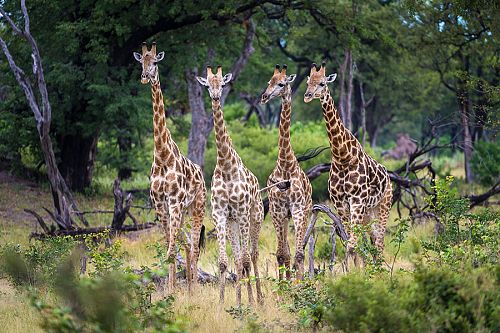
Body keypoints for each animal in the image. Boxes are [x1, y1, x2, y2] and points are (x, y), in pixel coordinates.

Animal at [133, 43, 207, 290]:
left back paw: (194, 288)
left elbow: (171, 250)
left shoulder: (174, 202)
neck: (162, 156)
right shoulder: (159, 204)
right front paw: (170, 289)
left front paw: (173, 290)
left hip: (197, 207)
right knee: (187, 244)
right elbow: (169, 248)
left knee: (194, 246)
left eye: (155, 61)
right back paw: (190, 286)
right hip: (183, 211)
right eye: (141, 61)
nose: (145, 77)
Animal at [196, 64, 266, 304]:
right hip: (233, 223)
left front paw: (250, 303)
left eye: (222, 83)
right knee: (238, 259)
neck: (226, 167)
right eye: (208, 85)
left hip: (255, 217)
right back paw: (244, 299)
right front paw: (224, 303)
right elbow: (224, 262)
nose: (216, 96)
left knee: (252, 255)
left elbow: (245, 260)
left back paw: (259, 299)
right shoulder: (220, 215)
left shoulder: (243, 212)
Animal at [302, 60, 392, 268]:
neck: (342, 156)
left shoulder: (357, 200)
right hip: (368, 214)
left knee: (380, 242)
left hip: (383, 207)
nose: (307, 96)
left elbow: (352, 244)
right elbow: (350, 242)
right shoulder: (341, 203)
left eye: (322, 83)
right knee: (373, 241)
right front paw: (353, 272)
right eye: (308, 82)